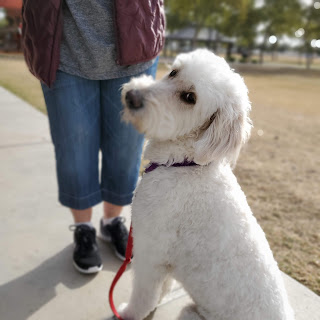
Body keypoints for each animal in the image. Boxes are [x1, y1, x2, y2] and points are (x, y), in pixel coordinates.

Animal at [119, 48, 294, 318]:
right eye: (173, 72)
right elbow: (163, 287)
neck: (185, 164)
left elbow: (144, 296)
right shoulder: (165, 258)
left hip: (190, 312)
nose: (131, 96)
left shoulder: (151, 250)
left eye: (189, 98)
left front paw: (128, 313)